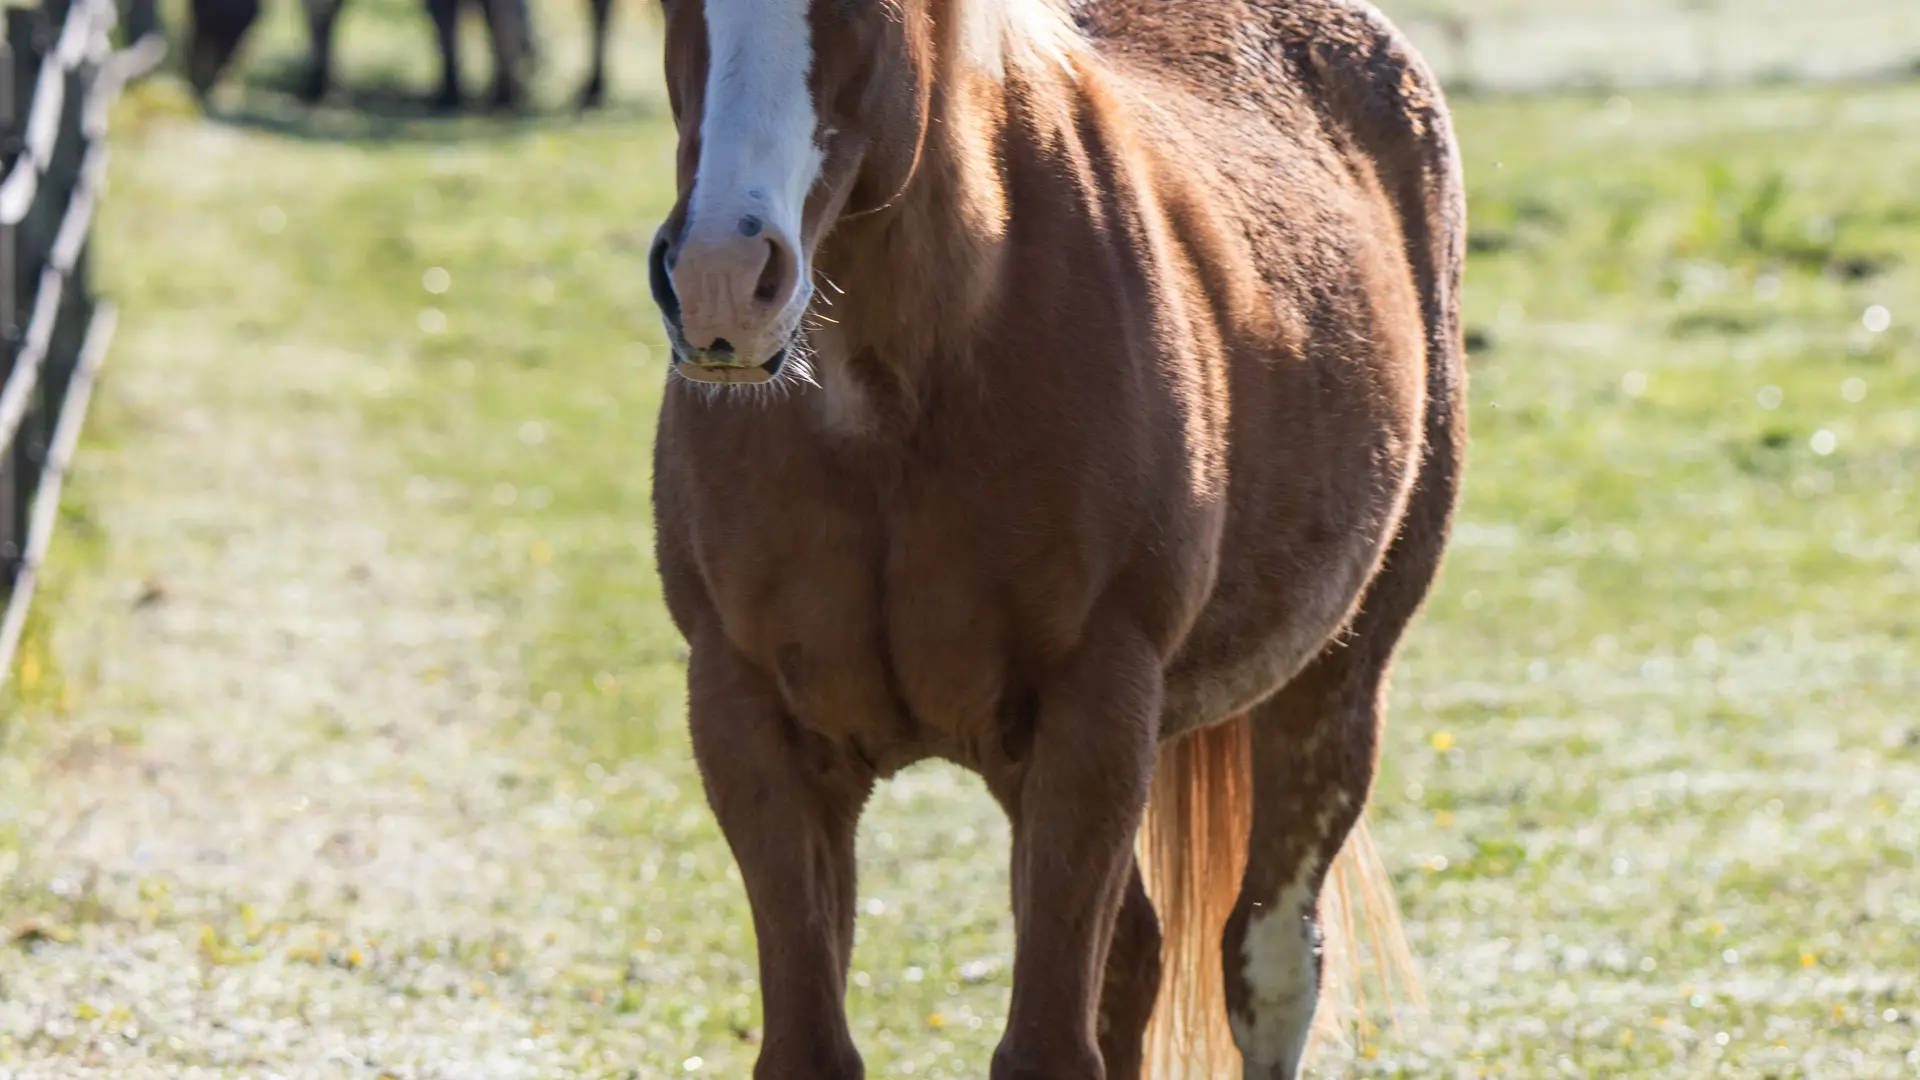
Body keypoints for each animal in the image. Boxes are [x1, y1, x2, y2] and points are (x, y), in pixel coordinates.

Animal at [647, 0, 1466, 1076]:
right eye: (670, 8)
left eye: (864, 10)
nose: (720, 280)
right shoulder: (749, 722)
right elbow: (810, 1044)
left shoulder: (1096, 712)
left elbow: (1048, 1042)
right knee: (1137, 956)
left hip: (1333, 688)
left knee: (1269, 964)